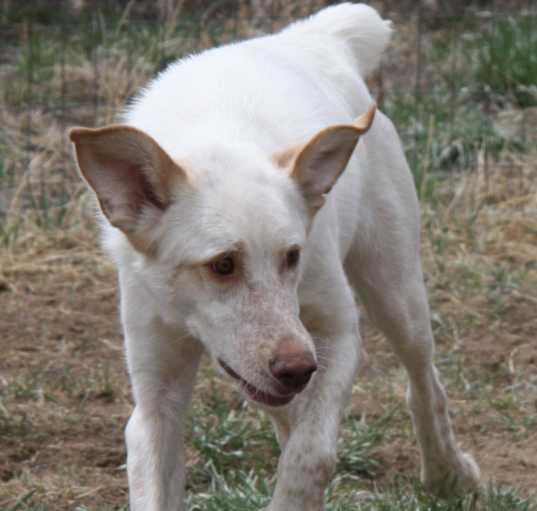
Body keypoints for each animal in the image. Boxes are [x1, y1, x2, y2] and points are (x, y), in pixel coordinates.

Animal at [70, 3, 478, 508]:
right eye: (222, 265)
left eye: (292, 257)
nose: (297, 368)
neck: (221, 139)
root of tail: (309, 37)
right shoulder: (154, 398)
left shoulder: (337, 337)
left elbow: (311, 456)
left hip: (395, 294)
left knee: (424, 382)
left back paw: (448, 474)